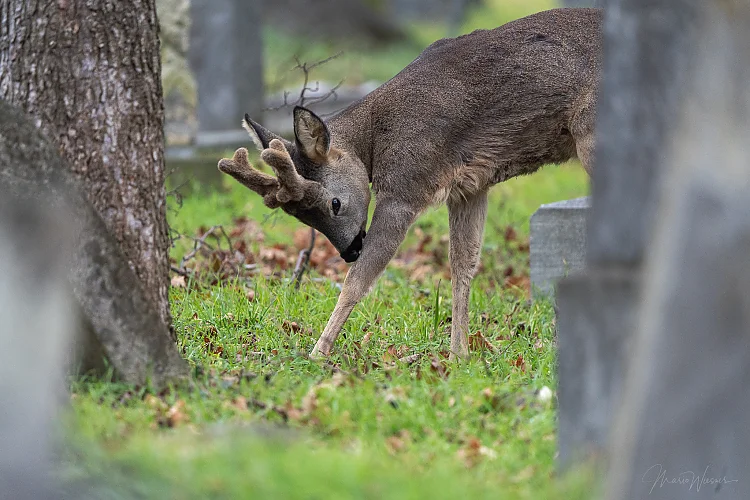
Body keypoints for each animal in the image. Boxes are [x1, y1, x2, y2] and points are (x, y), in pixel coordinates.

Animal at [218, 8, 602, 360]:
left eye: (335, 203)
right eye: (297, 216)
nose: (349, 251)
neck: (376, 139)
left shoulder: (405, 186)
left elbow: (358, 281)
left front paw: (318, 353)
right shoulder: (470, 185)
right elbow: (462, 265)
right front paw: (459, 355)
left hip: (591, 134)